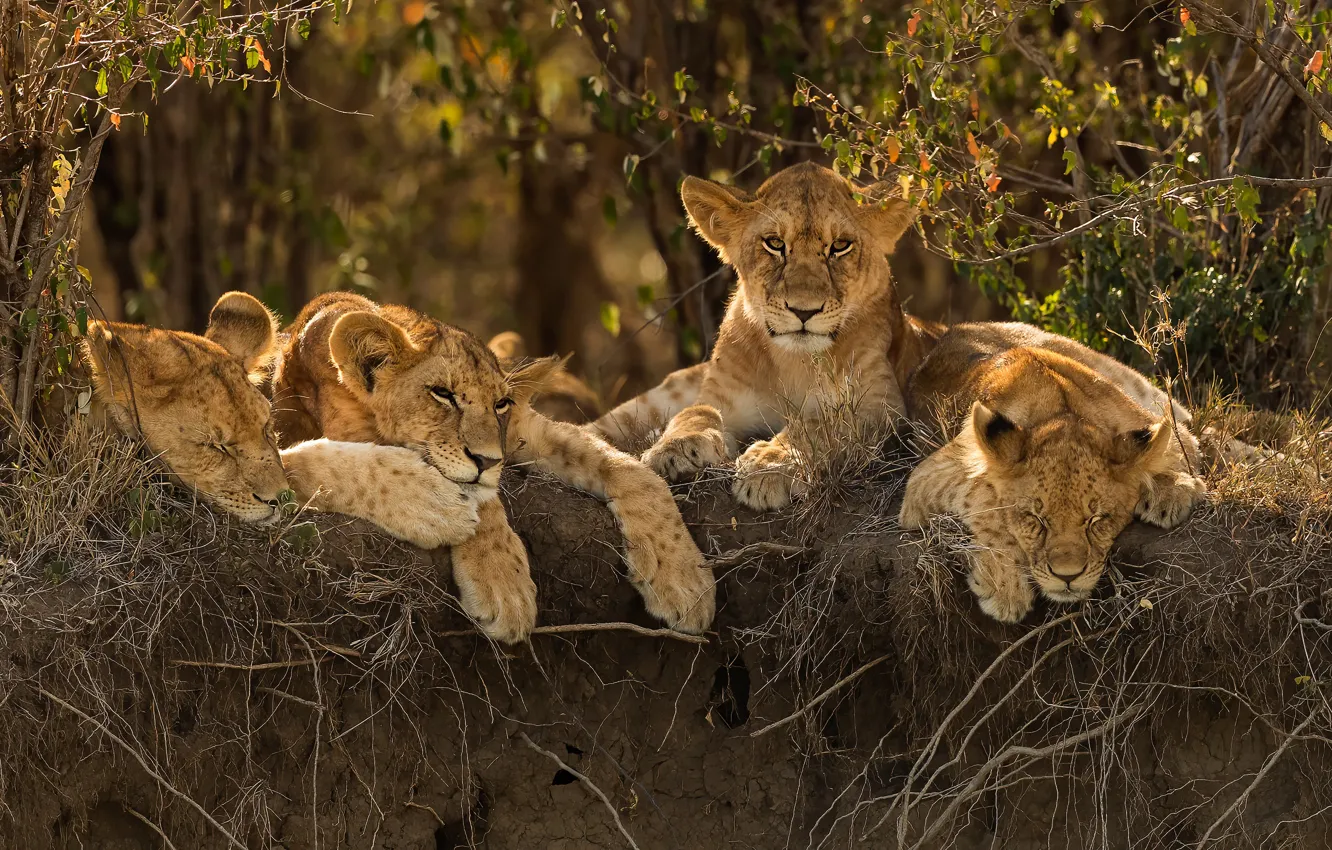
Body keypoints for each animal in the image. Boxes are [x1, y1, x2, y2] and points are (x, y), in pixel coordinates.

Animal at [271, 292, 716, 643]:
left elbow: (634, 472)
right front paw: (502, 582)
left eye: (500, 403)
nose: (488, 460)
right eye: (442, 394)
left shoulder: (530, 430)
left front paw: (683, 579)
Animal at [593, 162, 943, 510]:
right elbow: (695, 413)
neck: (793, 362)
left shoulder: (883, 408)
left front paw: (768, 467)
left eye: (840, 246)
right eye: (774, 244)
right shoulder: (720, 396)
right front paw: (675, 449)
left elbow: (819, 425)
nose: (803, 311)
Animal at [897, 322, 1207, 623]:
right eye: (1035, 520)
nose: (1067, 577)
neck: (1058, 410)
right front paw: (1005, 585)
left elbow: (1179, 448)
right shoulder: (927, 476)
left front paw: (1172, 490)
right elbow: (983, 496)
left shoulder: (1149, 423)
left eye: (1096, 520)